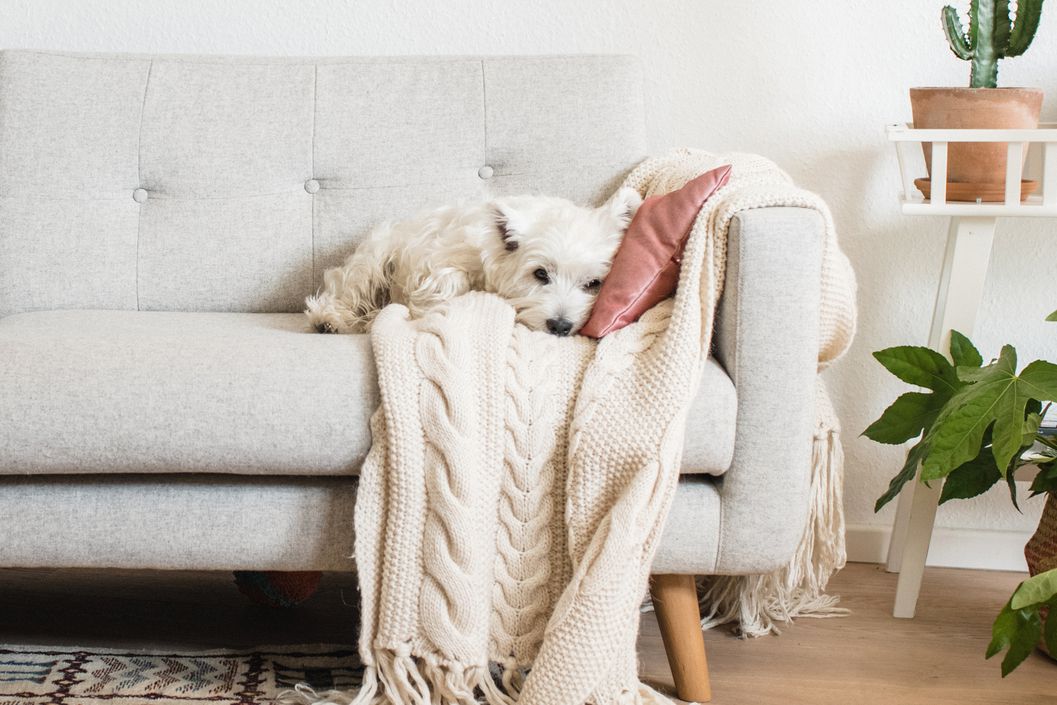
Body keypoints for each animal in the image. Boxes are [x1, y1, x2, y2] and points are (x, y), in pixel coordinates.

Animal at [302, 189, 638, 338]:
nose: (560, 326)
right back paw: (329, 319)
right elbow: (450, 280)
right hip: (374, 256)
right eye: (541, 274)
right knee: (345, 289)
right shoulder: (435, 257)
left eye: (593, 283)